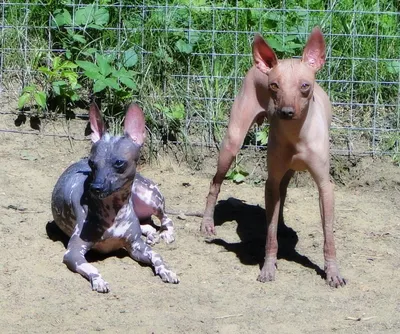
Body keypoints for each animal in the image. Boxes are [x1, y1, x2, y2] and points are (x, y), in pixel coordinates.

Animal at [51, 102, 180, 292]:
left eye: (119, 163)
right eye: (91, 163)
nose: (95, 187)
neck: (114, 211)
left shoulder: (136, 246)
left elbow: (157, 256)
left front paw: (166, 270)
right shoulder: (73, 252)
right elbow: (91, 267)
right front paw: (98, 280)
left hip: (149, 197)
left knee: (166, 219)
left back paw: (166, 234)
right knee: (147, 225)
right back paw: (151, 235)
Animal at [202, 26, 346, 288]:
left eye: (305, 86)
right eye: (275, 86)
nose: (286, 112)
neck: (296, 134)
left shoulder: (325, 186)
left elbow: (328, 234)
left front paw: (332, 272)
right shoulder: (270, 183)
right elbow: (269, 235)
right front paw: (269, 267)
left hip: (286, 171)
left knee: (283, 193)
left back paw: (282, 225)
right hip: (232, 143)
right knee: (215, 183)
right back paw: (207, 223)